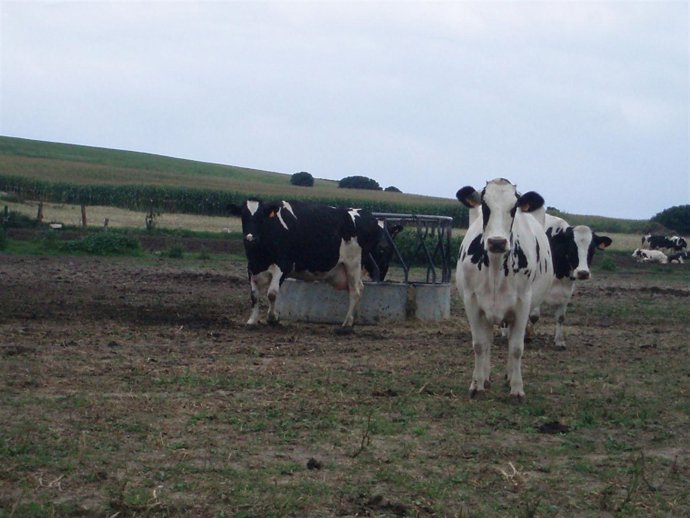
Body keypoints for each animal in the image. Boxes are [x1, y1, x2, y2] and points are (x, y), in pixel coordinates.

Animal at [229, 199, 395, 331]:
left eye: (260, 218)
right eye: (243, 217)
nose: (250, 238)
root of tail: (365, 214)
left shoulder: (283, 265)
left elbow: (272, 293)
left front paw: (273, 318)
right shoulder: (252, 267)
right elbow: (254, 295)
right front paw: (252, 321)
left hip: (353, 263)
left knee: (356, 291)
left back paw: (346, 324)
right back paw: (352, 321)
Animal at [455, 178, 553, 401]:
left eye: (514, 207)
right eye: (485, 206)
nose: (497, 242)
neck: (495, 267)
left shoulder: (523, 305)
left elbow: (516, 348)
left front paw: (517, 388)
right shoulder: (472, 303)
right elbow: (479, 345)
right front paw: (477, 385)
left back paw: (508, 377)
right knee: (487, 342)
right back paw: (485, 378)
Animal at [541, 214, 612, 349]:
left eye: (592, 249)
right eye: (571, 249)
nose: (583, 273)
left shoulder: (566, 293)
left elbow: (560, 317)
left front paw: (559, 341)